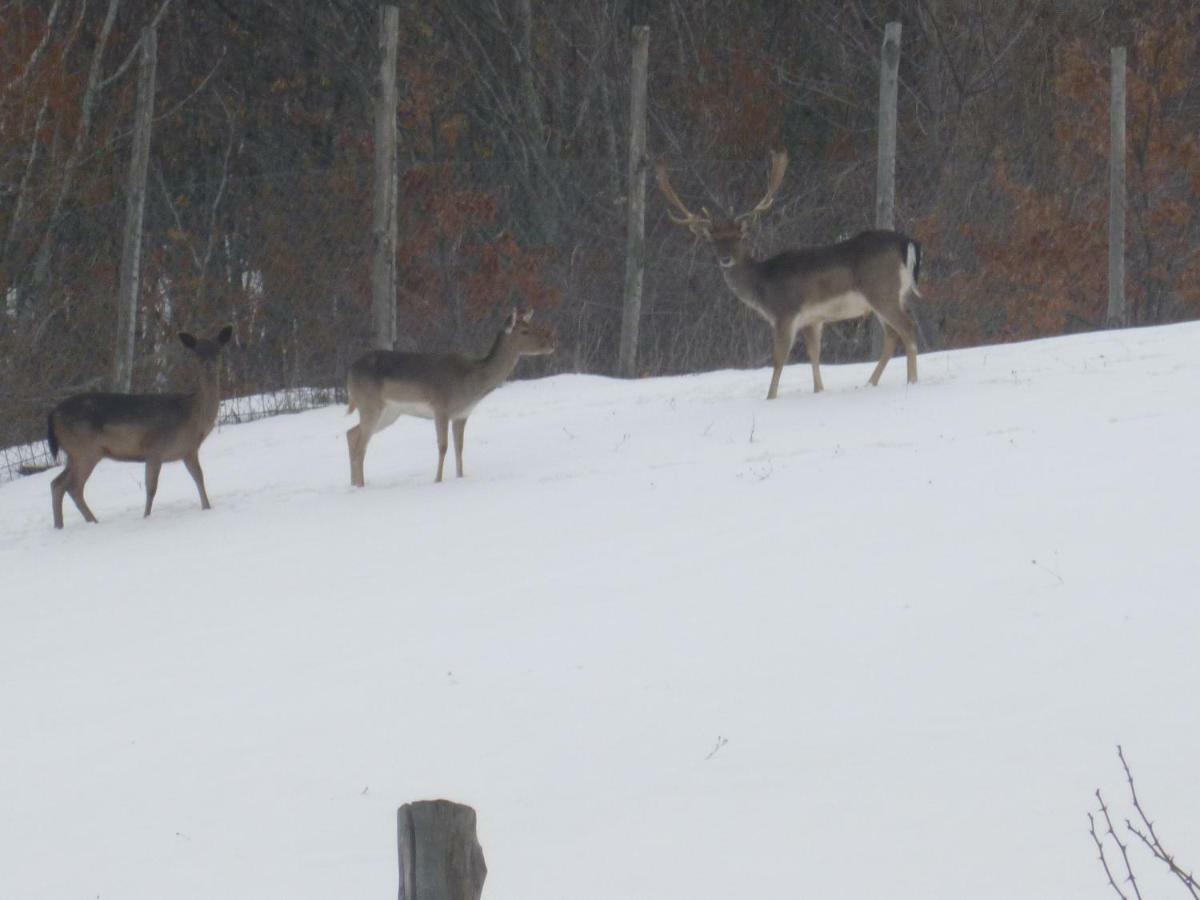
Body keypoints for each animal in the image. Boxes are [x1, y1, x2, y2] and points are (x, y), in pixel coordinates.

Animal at [47, 328, 234, 532]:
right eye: (197, 353)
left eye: (217, 350)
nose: (208, 364)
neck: (192, 416)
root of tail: (53, 414)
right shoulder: (155, 449)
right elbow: (151, 488)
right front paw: (146, 517)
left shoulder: (188, 450)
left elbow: (199, 477)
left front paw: (207, 508)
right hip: (85, 450)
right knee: (73, 487)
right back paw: (90, 522)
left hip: (74, 453)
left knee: (57, 484)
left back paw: (63, 526)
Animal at [345, 312, 554, 494]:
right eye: (524, 331)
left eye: (531, 325)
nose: (550, 343)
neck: (470, 383)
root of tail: (349, 373)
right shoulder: (441, 408)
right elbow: (443, 446)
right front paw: (437, 481)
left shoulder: (461, 414)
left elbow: (459, 447)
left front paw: (460, 477)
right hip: (370, 404)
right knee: (361, 445)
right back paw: (361, 487)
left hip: (390, 412)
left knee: (352, 433)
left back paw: (353, 485)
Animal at [657, 151, 916, 400]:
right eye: (712, 241)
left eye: (739, 237)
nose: (726, 259)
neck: (762, 285)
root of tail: (907, 243)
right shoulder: (813, 320)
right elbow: (814, 354)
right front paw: (818, 390)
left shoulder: (785, 313)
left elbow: (779, 358)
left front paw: (770, 398)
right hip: (891, 296)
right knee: (892, 336)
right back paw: (870, 383)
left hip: (881, 290)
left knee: (907, 328)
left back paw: (912, 382)